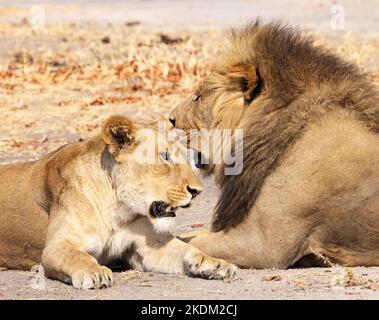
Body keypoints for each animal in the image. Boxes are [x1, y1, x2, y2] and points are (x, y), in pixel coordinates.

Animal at [0, 114, 236, 288]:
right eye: (165, 157)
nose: (197, 191)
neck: (117, 209)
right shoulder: (55, 247)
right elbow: (77, 256)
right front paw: (95, 271)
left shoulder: (148, 247)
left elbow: (188, 250)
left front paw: (216, 265)